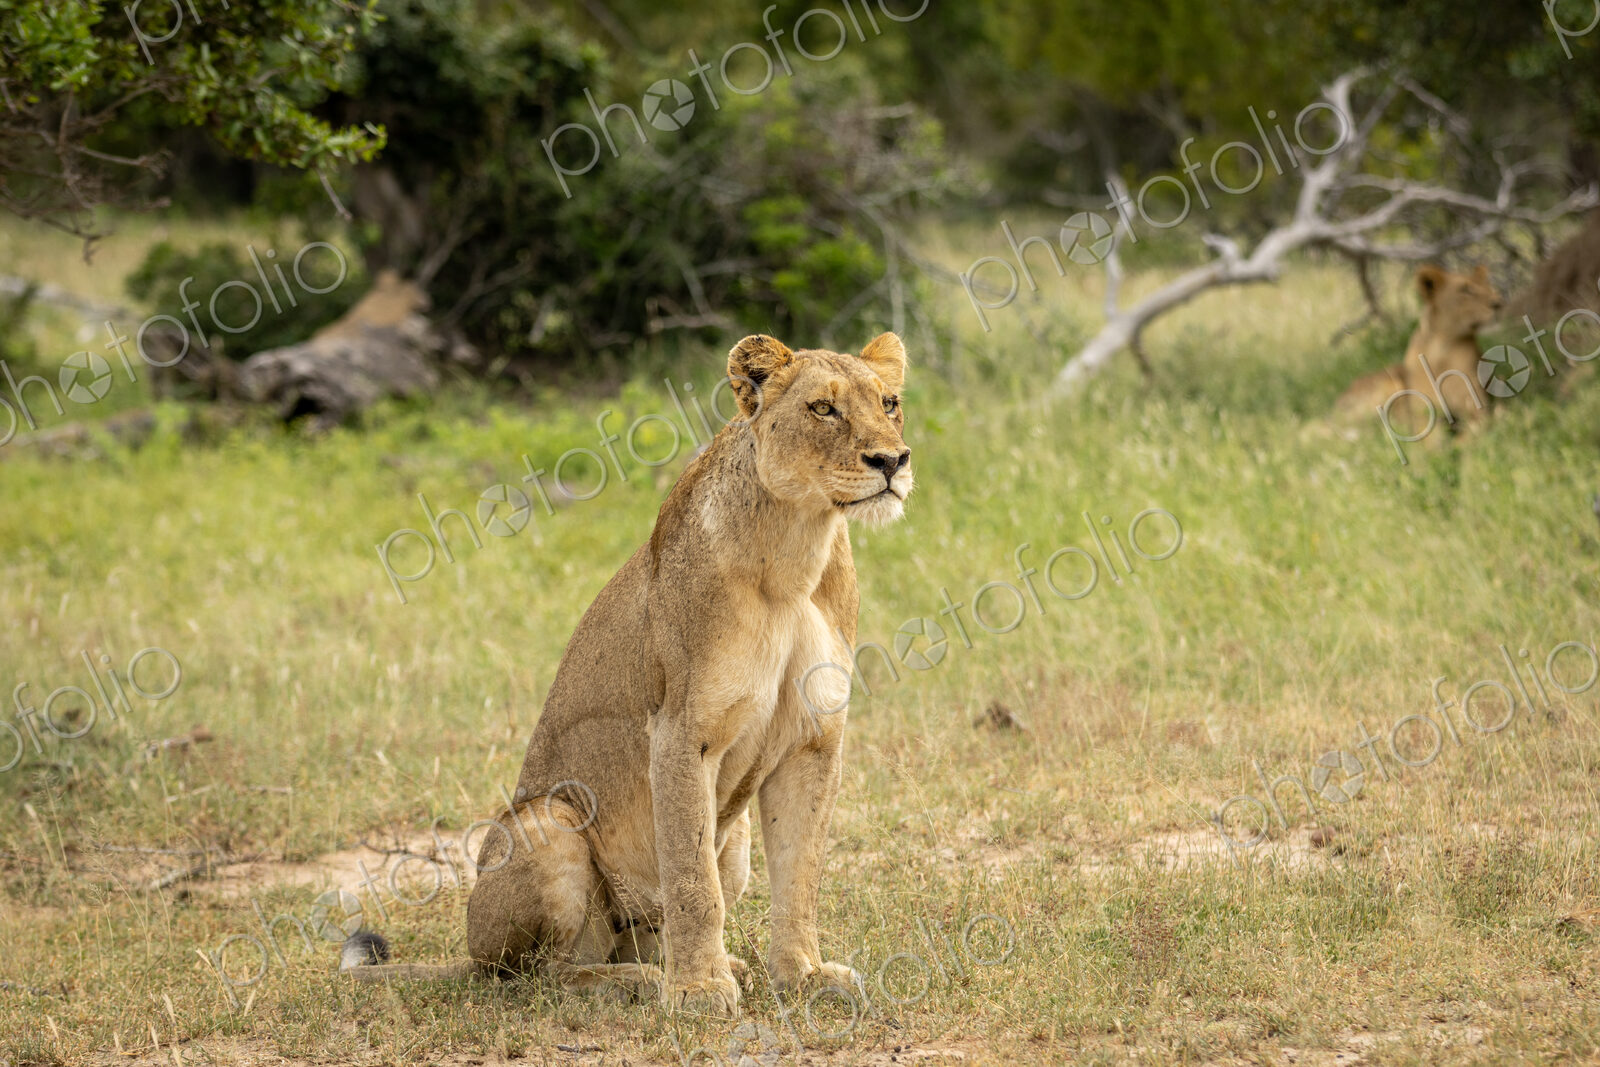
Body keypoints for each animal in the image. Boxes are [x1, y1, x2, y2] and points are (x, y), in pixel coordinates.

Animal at [342, 332, 914, 1017]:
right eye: (823, 409)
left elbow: (800, 876)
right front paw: (699, 991)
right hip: (550, 825)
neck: (798, 545)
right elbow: (693, 881)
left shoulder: (814, 738)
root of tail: (470, 956)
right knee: (538, 977)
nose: (893, 460)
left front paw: (802, 975)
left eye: (889, 402)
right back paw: (646, 982)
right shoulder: (680, 733)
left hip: (737, 842)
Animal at [1335, 264, 1503, 431]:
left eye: (1489, 286)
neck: (1442, 348)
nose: (1498, 303)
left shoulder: (1477, 411)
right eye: (1465, 289)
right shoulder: (1421, 417)